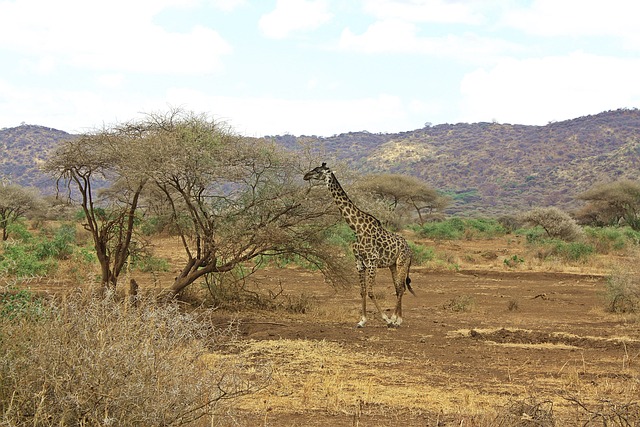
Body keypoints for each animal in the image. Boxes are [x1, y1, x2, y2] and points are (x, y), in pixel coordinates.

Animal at [304, 163, 416, 328]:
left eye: (318, 171)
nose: (305, 176)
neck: (356, 228)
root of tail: (410, 250)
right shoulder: (359, 262)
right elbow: (362, 292)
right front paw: (362, 321)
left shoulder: (372, 261)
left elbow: (370, 292)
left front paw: (386, 319)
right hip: (392, 265)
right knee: (398, 288)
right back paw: (397, 319)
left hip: (402, 262)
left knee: (401, 288)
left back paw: (396, 320)